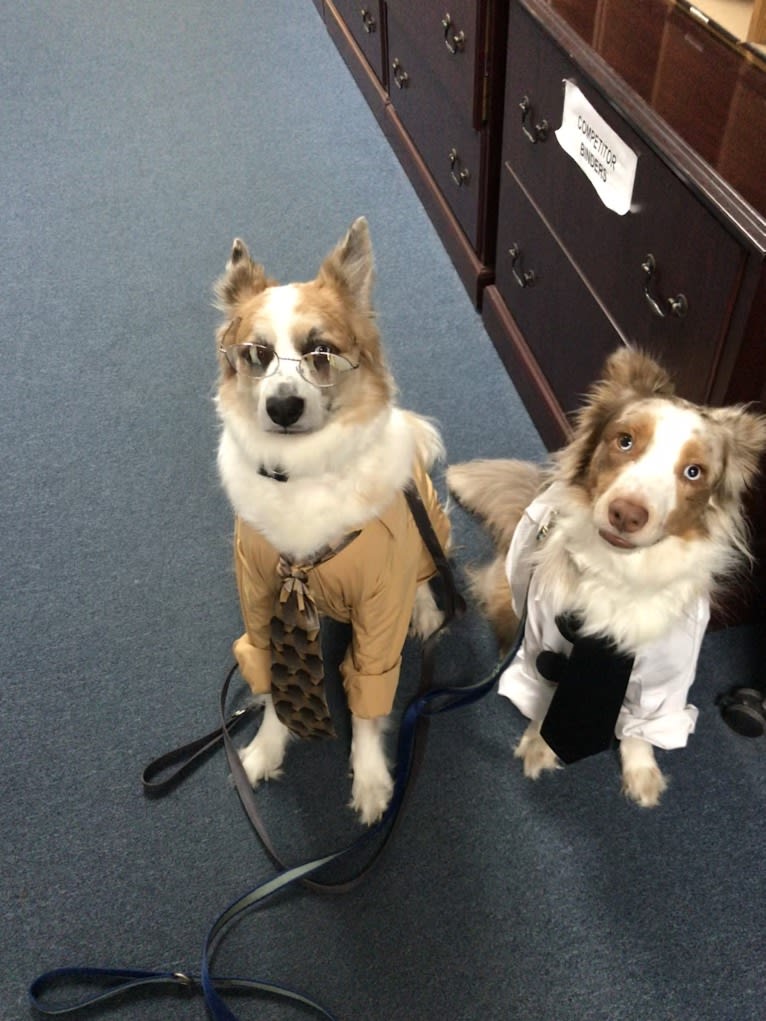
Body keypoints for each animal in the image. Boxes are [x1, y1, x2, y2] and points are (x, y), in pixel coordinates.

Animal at [211, 215, 449, 820]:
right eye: (257, 354)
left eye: (320, 352)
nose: (283, 407)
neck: (303, 474)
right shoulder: (260, 595)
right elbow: (273, 681)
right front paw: (264, 750)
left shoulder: (378, 604)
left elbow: (368, 695)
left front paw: (370, 780)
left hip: (429, 522)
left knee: (426, 571)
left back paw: (426, 609)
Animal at [449, 351, 766, 804]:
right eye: (625, 441)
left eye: (694, 472)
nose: (626, 514)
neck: (620, 571)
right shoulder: (542, 646)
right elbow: (547, 698)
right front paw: (540, 745)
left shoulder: (666, 677)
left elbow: (641, 726)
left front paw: (642, 772)